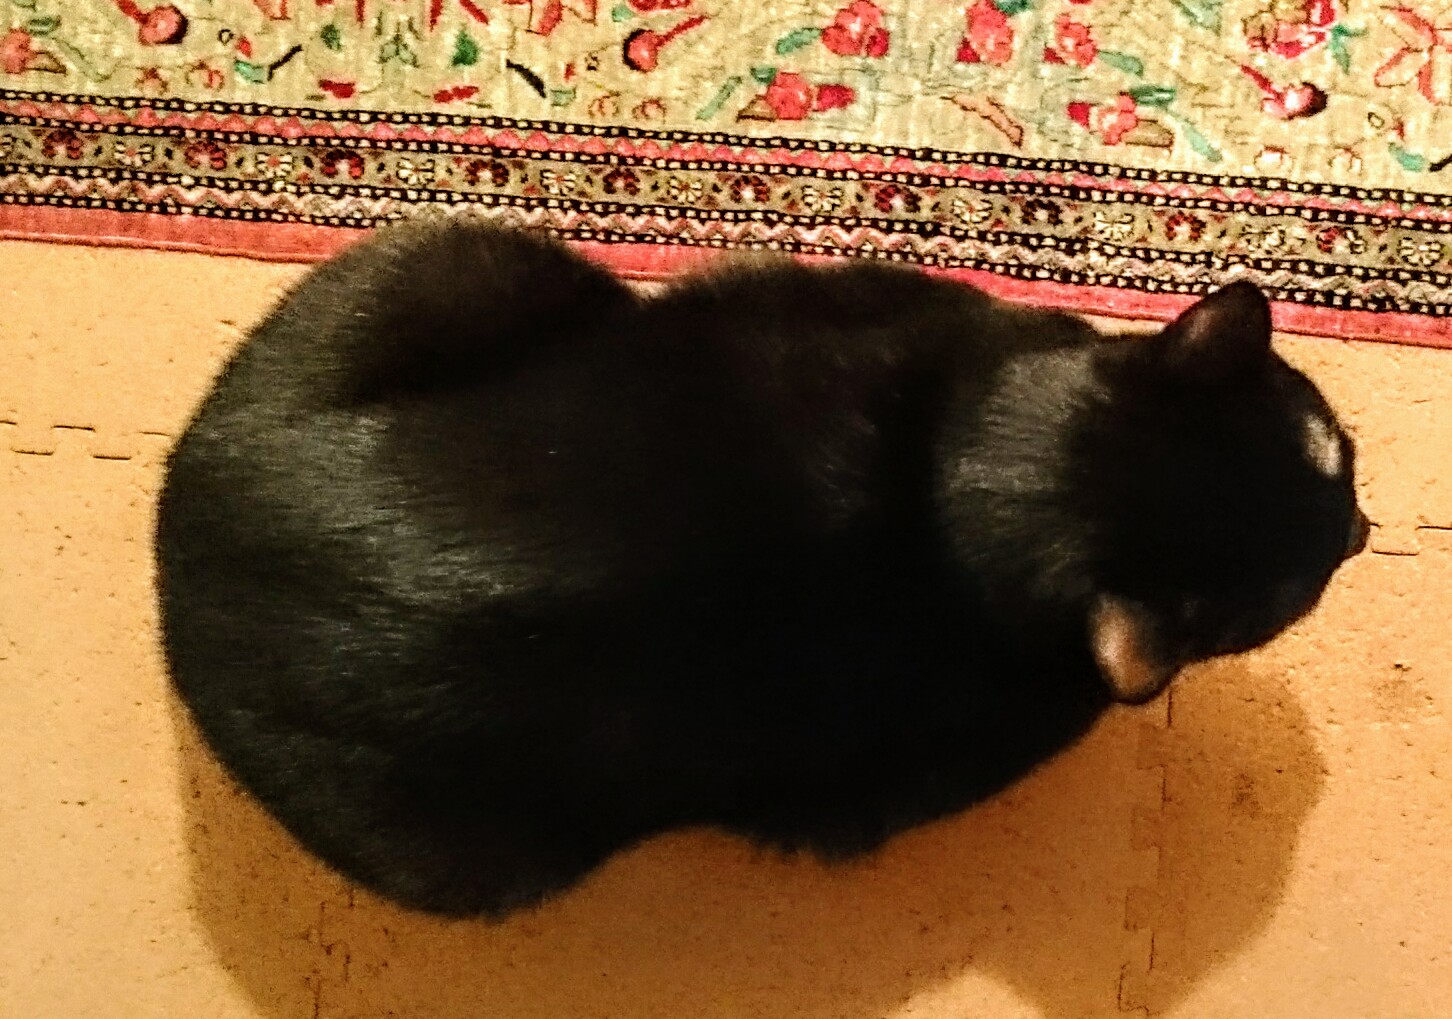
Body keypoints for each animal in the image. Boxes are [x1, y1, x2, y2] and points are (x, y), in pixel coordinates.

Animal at [157, 220, 1367, 918]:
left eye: (1330, 453)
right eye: (1287, 600)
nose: (1360, 530)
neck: (959, 481)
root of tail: (184, 541)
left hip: (444, 265)